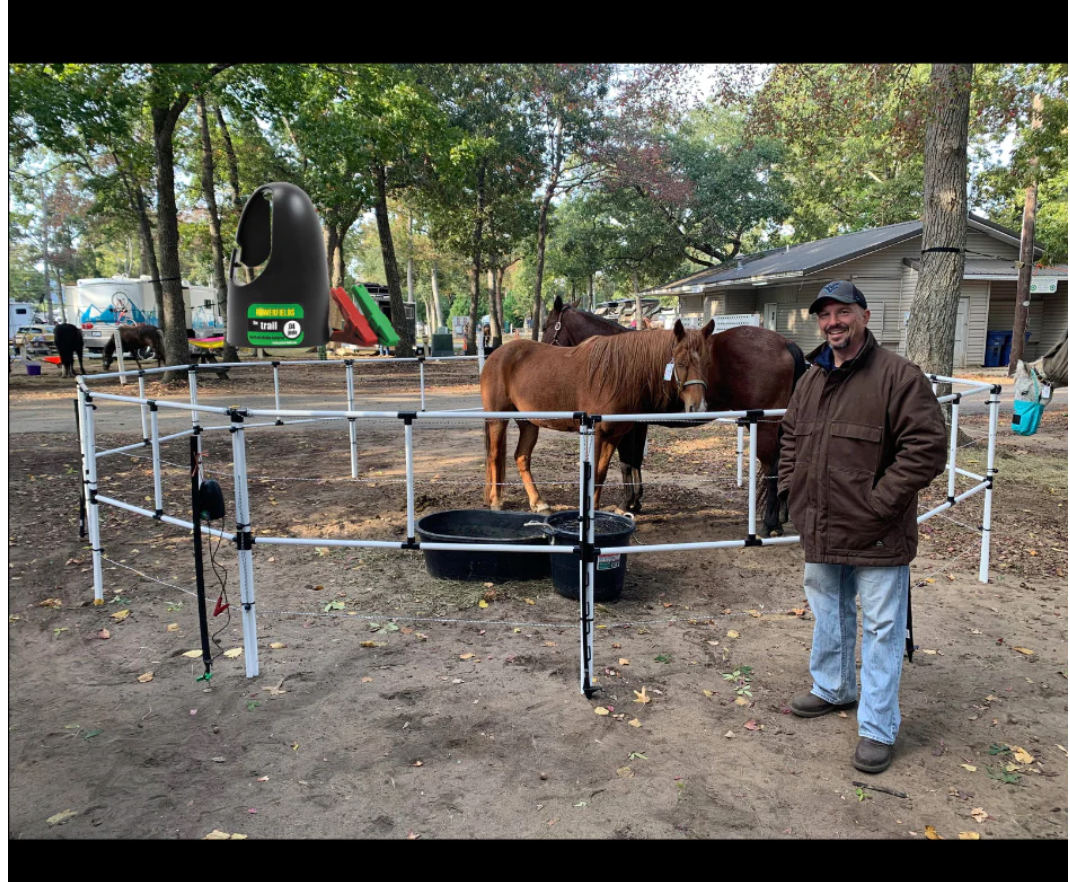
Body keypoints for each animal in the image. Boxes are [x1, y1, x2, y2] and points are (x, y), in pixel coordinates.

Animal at [482, 319, 715, 513]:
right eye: (681, 362)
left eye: (705, 362)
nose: (699, 406)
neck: (616, 375)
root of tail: (495, 355)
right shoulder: (597, 434)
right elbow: (594, 473)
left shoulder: (614, 436)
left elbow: (601, 474)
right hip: (498, 420)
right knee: (494, 456)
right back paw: (496, 501)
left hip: (529, 423)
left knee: (522, 457)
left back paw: (538, 502)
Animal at [543, 296, 808, 536]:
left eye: (546, 327)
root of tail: (785, 343)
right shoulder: (638, 425)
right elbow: (635, 461)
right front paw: (635, 501)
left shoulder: (628, 426)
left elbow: (627, 462)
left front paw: (627, 502)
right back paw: (781, 518)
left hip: (765, 425)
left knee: (772, 466)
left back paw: (769, 524)